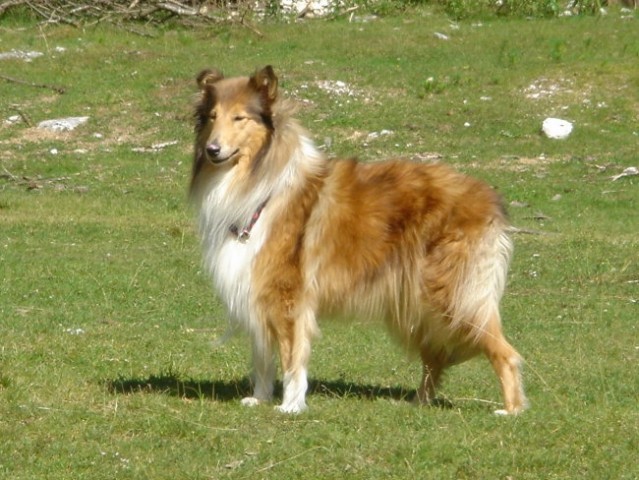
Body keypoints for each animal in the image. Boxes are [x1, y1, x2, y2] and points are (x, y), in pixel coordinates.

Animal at [191, 65, 528, 414]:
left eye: (239, 118)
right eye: (213, 116)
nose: (212, 150)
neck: (260, 182)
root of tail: (489, 198)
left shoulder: (288, 298)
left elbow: (290, 356)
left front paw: (290, 406)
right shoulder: (256, 291)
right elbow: (262, 356)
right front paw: (259, 398)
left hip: (455, 297)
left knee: (505, 353)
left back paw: (512, 409)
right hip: (416, 302)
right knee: (435, 356)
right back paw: (419, 402)